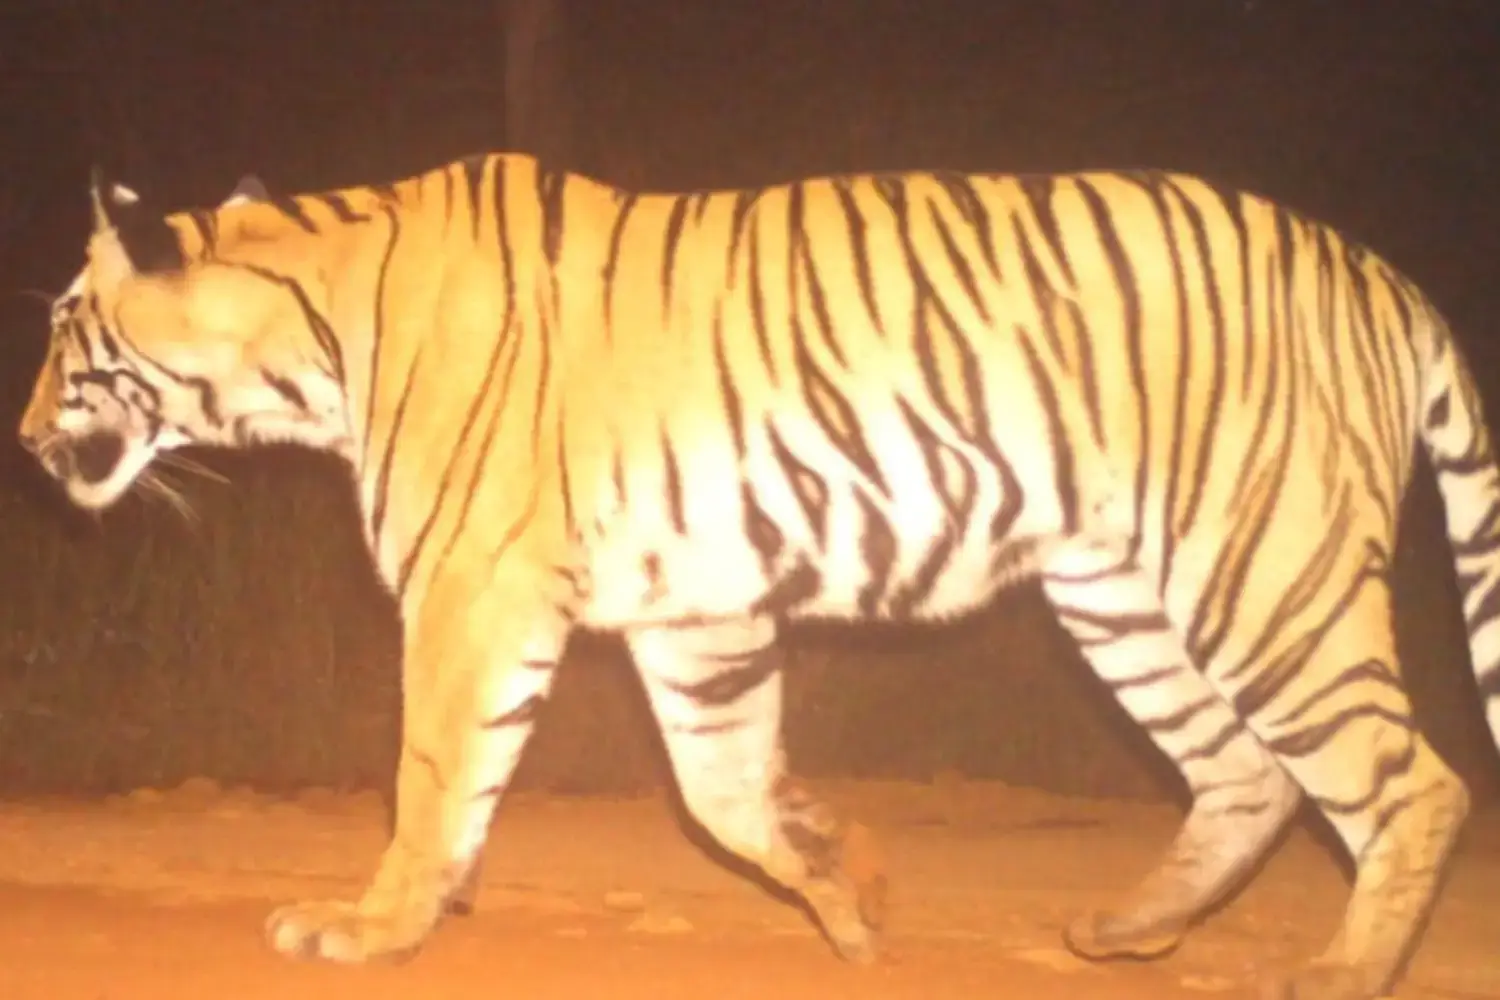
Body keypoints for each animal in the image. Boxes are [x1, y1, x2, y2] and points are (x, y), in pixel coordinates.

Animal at [18, 152, 1500, 1000]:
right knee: (1246, 772)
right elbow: (723, 793)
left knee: (1409, 779)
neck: (308, 338)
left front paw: (368, 928)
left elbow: (432, 777)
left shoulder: (470, 587)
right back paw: (1129, 931)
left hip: (1265, 568)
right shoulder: (699, 608)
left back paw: (1344, 972)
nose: (24, 437)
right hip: (1122, 594)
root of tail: (1387, 278)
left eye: (65, 328)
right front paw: (852, 892)